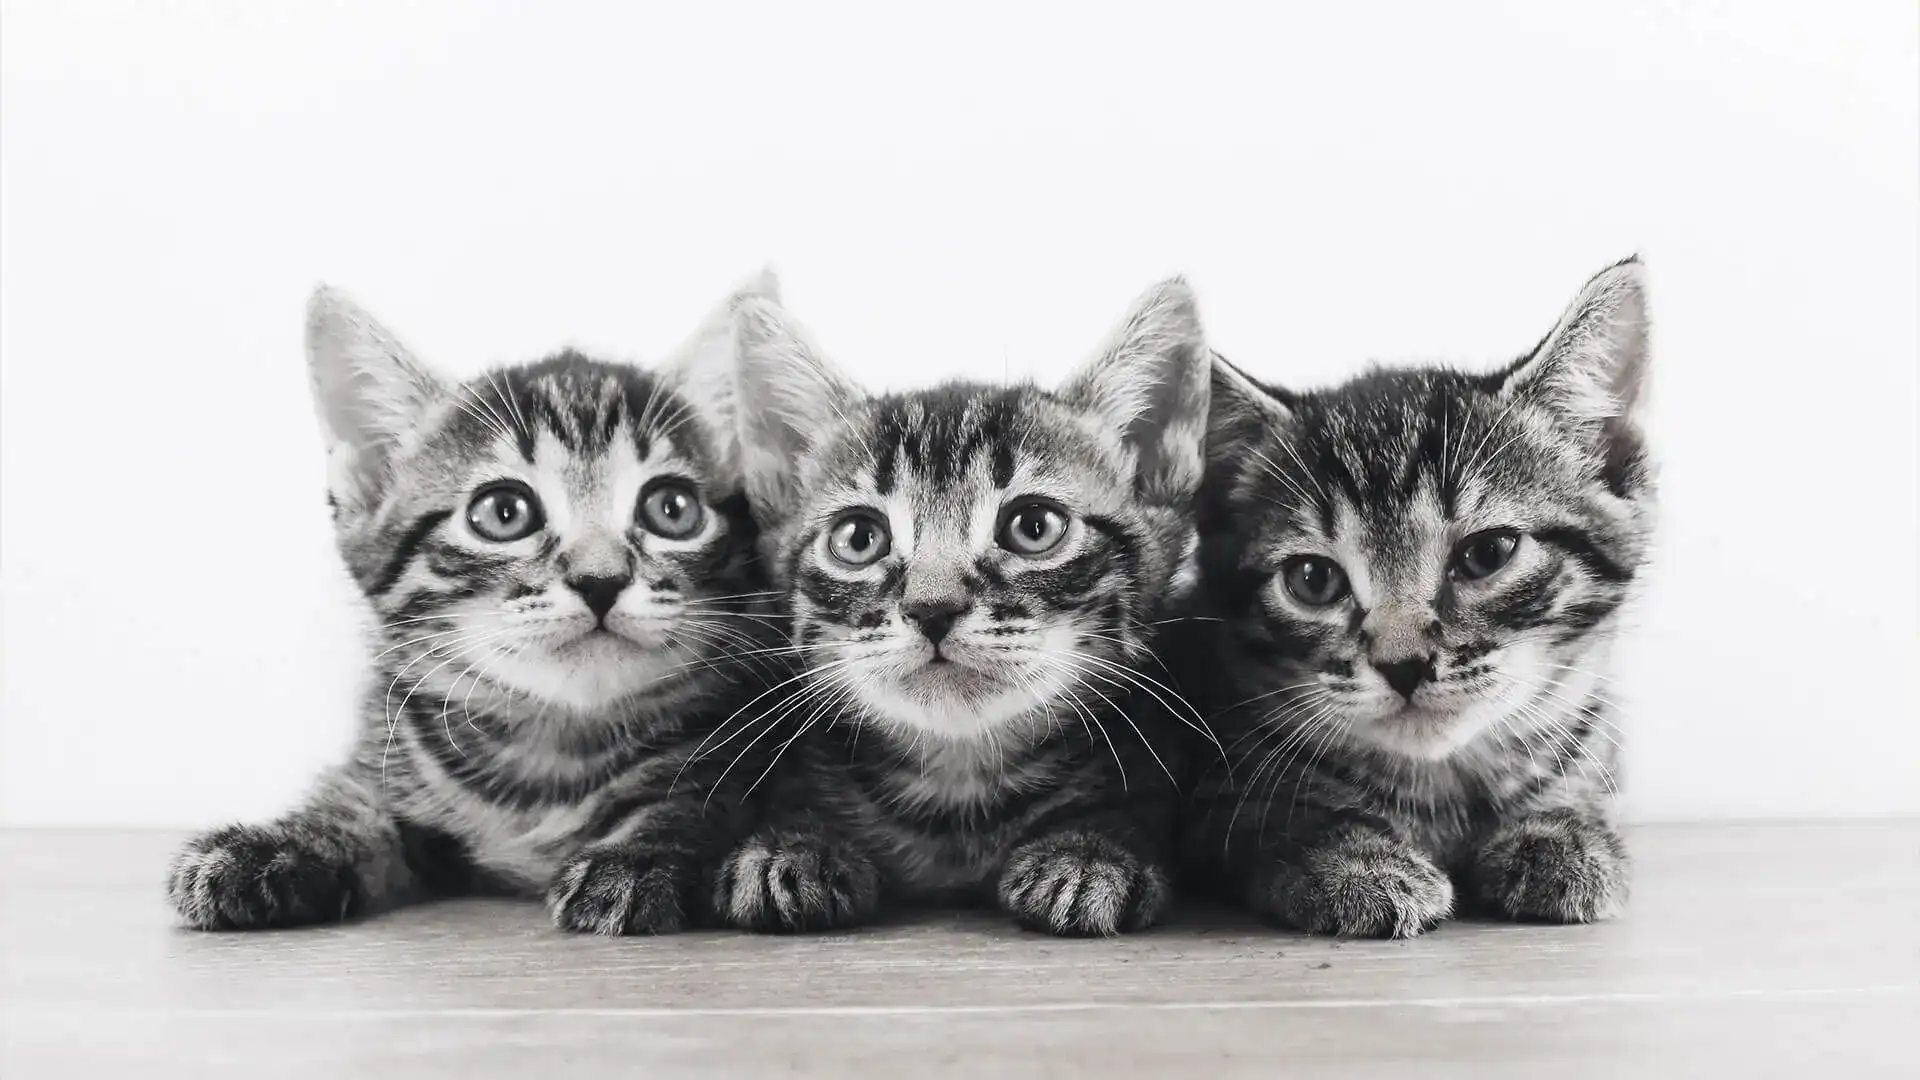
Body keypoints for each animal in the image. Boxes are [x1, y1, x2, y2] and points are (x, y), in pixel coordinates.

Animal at [167, 272, 787, 930]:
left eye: (672, 509)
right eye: (503, 512)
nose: (600, 578)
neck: (552, 751)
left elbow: (690, 801)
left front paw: (636, 853)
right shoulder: (391, 749)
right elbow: (354, 802)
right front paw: (278, 842)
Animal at [702, 278, 1213, 933]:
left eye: (1033, 526)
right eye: (858, 538)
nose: (932, 607)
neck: (957, 794)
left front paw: (1091, 850)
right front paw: (793, 845)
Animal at [1175, 259, 1658, 933]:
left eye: (1488, 553)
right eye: (1312, 579)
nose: (1402, 664)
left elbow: (1584, 786)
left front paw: (1562, 833)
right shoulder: (1211, 788)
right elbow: (1275, 817)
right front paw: (1355, 860)